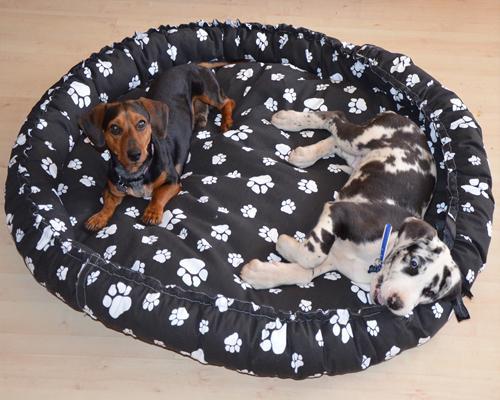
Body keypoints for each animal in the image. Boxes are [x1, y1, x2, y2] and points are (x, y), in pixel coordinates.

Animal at [240, 109, 462, 316]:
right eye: (414, 264)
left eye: (429, 292)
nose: (396, 303)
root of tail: (411, 124)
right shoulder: (339, 212)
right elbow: (311, 256)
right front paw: (286, 246)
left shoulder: (335, 260)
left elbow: (305, 273)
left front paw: (261, 274)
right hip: (359, 138)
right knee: (334, 118)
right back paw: (288, 119)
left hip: (354, 155)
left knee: (333, 141)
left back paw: (306, 155)